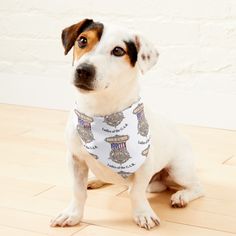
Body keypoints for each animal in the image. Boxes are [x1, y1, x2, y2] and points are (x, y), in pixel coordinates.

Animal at [50, 18, 204, 230]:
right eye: (82, 40)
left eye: (118, 51)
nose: (83, 70)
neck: (101, 111)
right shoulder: (75, 159)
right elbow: (78, 191)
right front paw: (72, 214)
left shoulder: (145, 164)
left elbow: (136, 192)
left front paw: (143, 214)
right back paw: (96, 180)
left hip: (179, 170)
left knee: (196, 187)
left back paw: (181, 196)